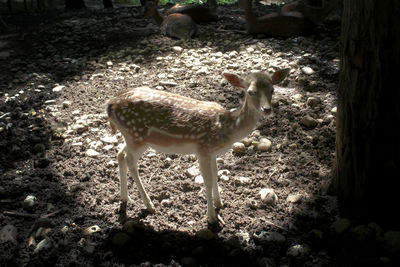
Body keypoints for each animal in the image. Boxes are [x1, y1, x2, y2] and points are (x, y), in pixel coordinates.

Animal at [105, 68, 288, 224]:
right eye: (250, 91)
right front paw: (212, 218)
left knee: (120, 154)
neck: (228, 128)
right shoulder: (203, 149)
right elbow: (207, 180)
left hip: (131, 137)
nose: (267, 109)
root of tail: (109, 104)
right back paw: (149, 205)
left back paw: (124, 199)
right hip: (136, 136)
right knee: (130, 162)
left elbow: (216, 175)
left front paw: (219, 203)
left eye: (273, 89)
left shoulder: (213, 152)